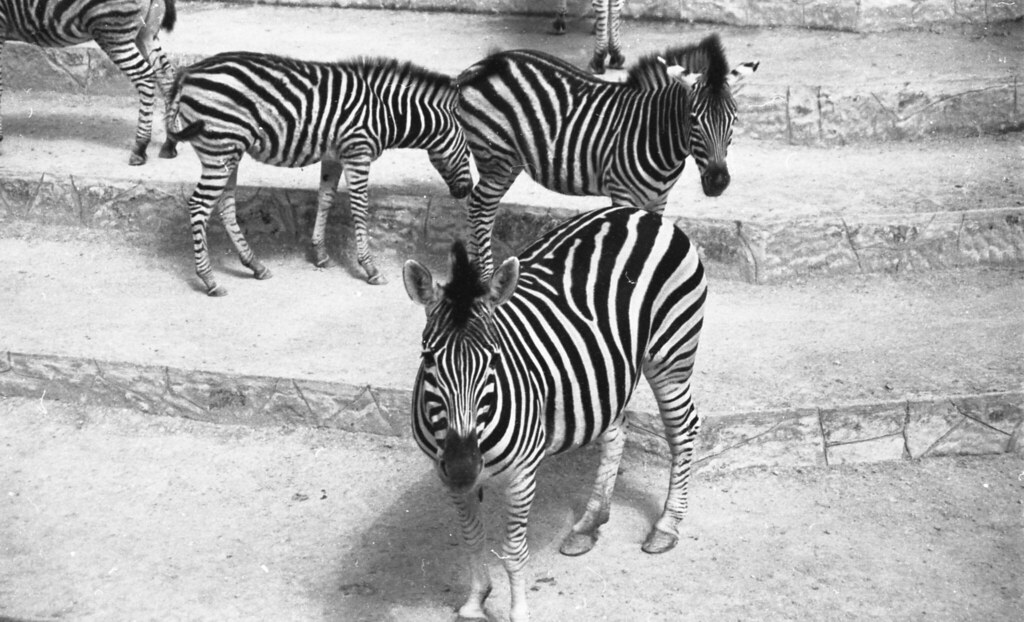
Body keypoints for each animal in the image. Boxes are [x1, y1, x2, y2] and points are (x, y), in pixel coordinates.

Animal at [0, 0, 179, 165]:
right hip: (146, 31)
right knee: (167, 75)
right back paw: (170, 143)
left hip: (112, 28)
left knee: (145, 76)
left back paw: (140, 148)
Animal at [166, 51, 473, 296]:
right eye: (470, 152)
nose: (466, 191)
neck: (387, 111)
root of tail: (187, 73)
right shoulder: (357, 153)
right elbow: (359, 208)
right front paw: (370, 268)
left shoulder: (333, 156)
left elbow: (325, 199)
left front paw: (321, 254)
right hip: (220, 150)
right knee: (199, 206)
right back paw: (210, 281)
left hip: (228, 152)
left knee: (225, 206)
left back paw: (255, 265)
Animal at [404, 205, 707, 622]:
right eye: (428, 358)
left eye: (495, 360)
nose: (465, 467)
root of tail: (639, 212)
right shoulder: (445, 473)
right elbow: (471, 539)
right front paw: (475, 602)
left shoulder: (521, 475)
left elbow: (514, 553)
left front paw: (517, 613)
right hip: (607, 373)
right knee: (617, 432)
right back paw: (588, 525)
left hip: (671, 355)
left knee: (683, 430)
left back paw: (666, 525)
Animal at [456, 33, 758, 278]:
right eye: (693, 119)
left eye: (734, 119)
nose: (718, 182)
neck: (655, 132)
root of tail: (481, 65)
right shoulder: (623, 192)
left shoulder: (659, 198)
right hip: (496, 157)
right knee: (480, 208)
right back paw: (484, 277)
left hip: (508, 161)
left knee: (479, 206)